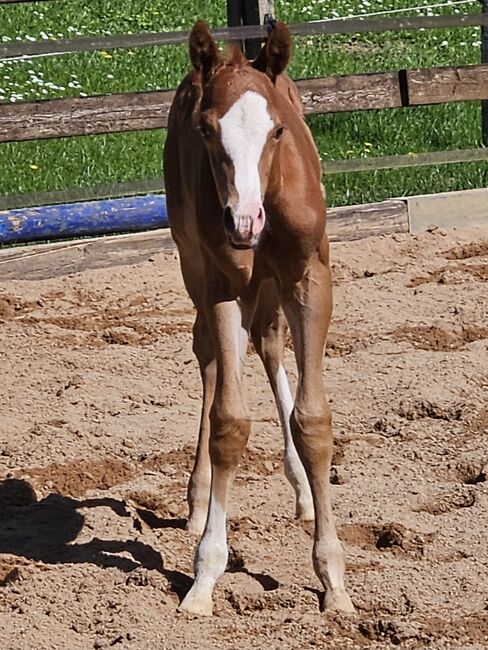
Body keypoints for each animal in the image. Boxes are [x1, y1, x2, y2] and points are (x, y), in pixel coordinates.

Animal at [164, 20, 354, 616]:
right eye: (206, 129)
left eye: (277, 131)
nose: (243, 222)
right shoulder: (223, 285)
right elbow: (229, 420)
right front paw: (204, 575)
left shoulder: (311, 281)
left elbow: (313, 422)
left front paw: (334, 581)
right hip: (196, 265)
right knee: (209, 356)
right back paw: (199, 498)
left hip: (269, 287)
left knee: (269, 345)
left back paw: (302, 492)